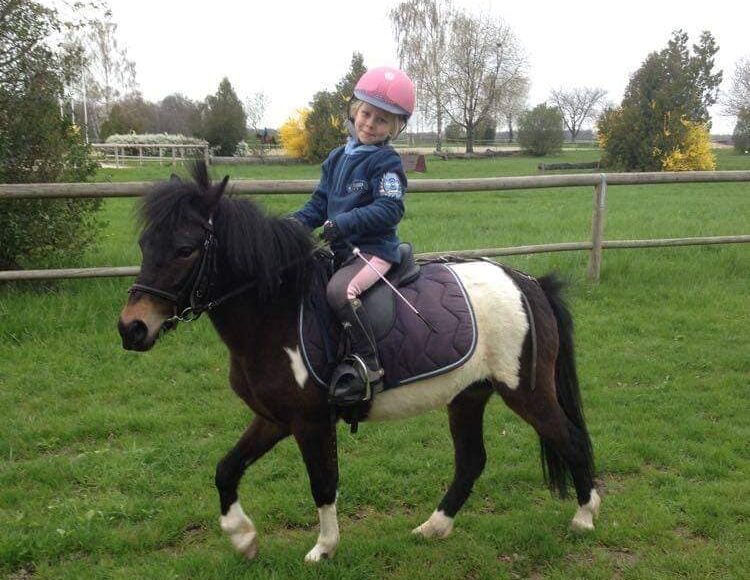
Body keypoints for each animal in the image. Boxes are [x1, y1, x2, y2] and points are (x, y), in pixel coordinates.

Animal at [116, 163, 600, 560]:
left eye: (185, 249)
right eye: (144, 243)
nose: (131, 328)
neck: (278, 311)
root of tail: (528, 282)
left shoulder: (310, 421)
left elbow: (323, 482)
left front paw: (324, 548)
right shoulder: (274, 417)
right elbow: (226, 468)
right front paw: (243, 538)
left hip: (526, 392)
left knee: (572, 439)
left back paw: (585, 516)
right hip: (468, 394)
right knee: (471, 461)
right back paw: (433, 528)